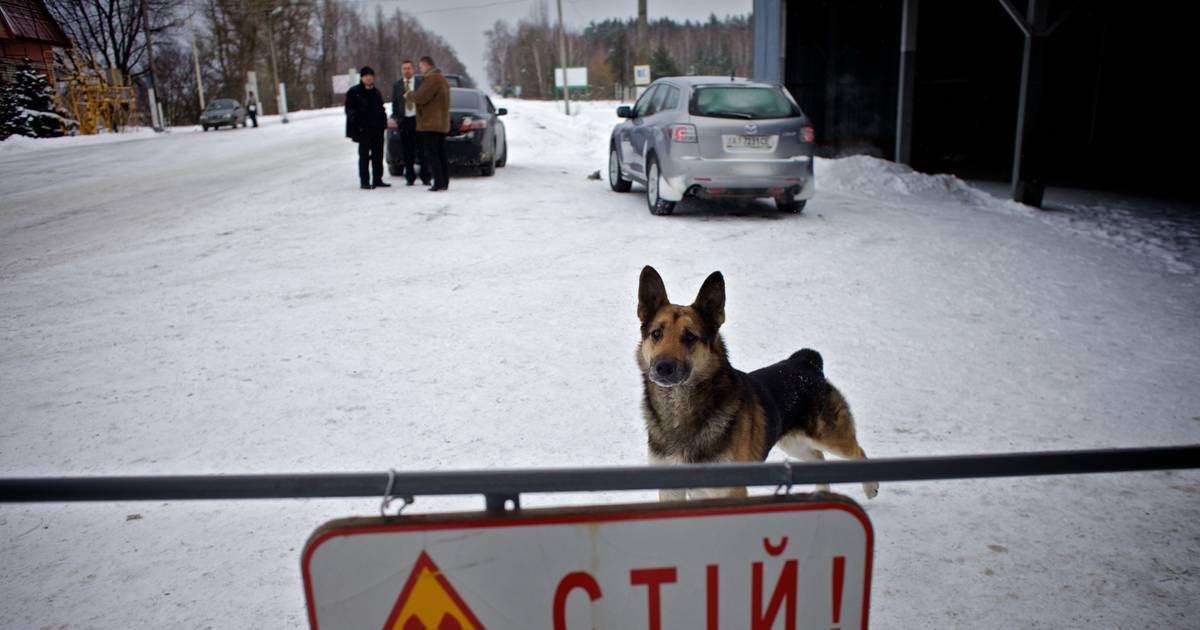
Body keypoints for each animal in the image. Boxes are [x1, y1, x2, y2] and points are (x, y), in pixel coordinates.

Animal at [633, 265, 878, 501]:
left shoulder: (730, 490)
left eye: (690, 336)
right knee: (818, 458)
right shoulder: (671, 488)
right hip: (793, 442)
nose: (663, 367)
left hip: (829, 436)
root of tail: (806, 361)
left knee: (858, 452)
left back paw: (870, 487)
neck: (679, 409)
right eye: (657, 334)